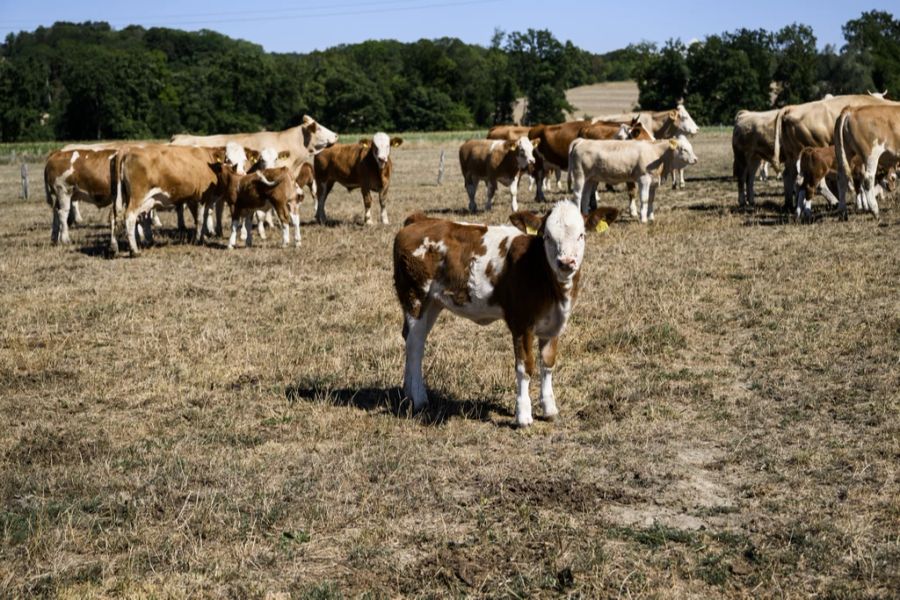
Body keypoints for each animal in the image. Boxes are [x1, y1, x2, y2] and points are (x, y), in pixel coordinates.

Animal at [394, 202, 620, 426]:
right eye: (547, 236)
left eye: (581, 235)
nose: (566, 262)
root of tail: (420, 220)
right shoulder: (521, 323)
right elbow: (525, 366)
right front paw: (523, 415)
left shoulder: (554, 324)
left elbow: (547, 364)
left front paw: (550, 409)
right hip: (415, 296)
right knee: (415, 344)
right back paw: (420, 399)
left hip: (433, 303)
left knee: (413, 339)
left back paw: (408, 392)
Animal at [568, 135, 704, 221]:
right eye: (684, 149)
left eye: (690, 147)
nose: (696, 159)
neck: (657, 154)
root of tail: (582, 141)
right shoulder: (644, 179)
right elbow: (644, 199)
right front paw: (643, 219)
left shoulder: (653, 182)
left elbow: (651, 200)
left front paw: (651, 217)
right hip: (580, 175)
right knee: (577, 195)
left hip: (590, 178)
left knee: (585, 197)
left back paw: (586, 215)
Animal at [768, 95, 896, 212]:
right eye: (893, 178)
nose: (892, 188)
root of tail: (791, 108)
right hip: (815, 161)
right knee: (816, 184)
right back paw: (834, 202)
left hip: (794, 157)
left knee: (789, 176)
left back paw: (790, 205)